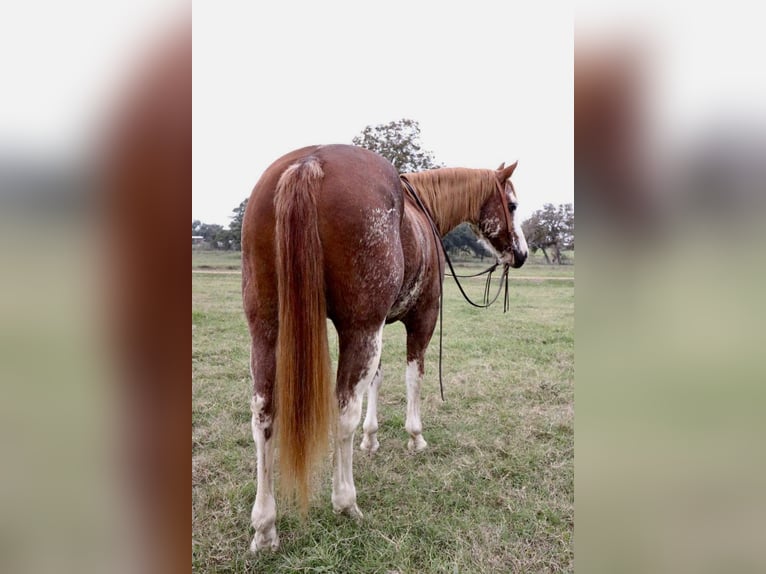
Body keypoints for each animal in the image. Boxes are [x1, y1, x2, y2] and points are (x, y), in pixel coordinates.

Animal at [243, 144, 532, 552]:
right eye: (513, 204)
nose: (521, 254)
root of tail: (310, 163)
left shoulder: (380, 324)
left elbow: (377, 383)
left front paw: (371, 437)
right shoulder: (419, 319)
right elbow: (413, 377)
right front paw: (415, 437)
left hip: (267, 328)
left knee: (263, 416)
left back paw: (265, 527)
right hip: (359, 328)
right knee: (343, 411)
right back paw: (345, 501)